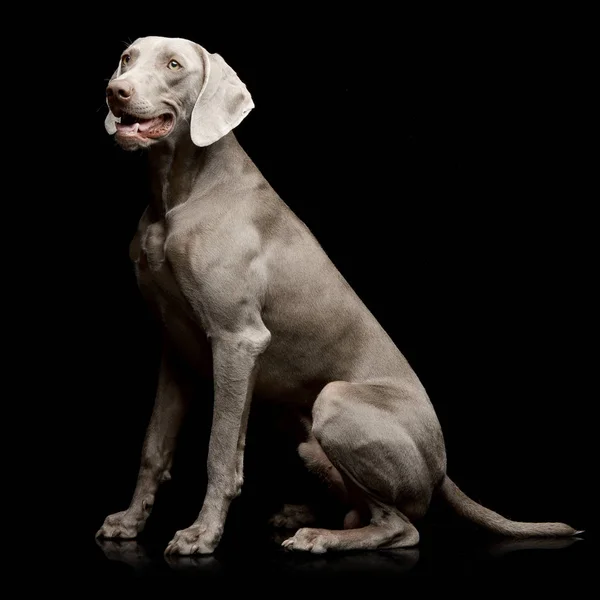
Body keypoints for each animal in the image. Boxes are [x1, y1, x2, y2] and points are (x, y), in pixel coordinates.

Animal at [96, 35, 580, 556]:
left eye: (174, 65)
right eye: (126, 59)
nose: (116, 92)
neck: (179, 194)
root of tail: (442, 468)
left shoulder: (237, 340)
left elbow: (220, 452)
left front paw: (201, 534)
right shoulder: (178, 348)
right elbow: (154, 446)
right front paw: (130, 521)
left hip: (334, 402)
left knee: (401, 527)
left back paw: (318, 536)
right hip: (303, 432)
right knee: (364, 509)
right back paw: (305, 514)